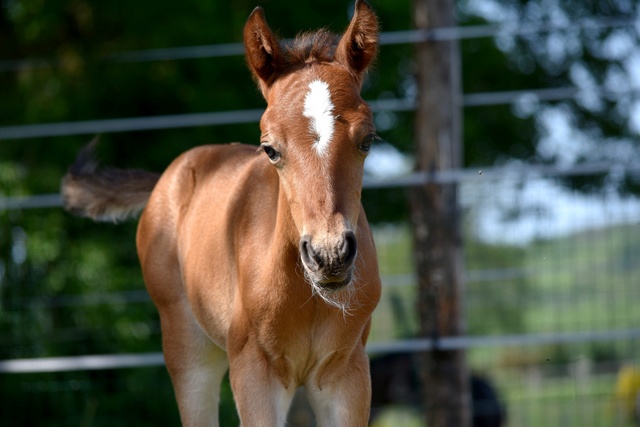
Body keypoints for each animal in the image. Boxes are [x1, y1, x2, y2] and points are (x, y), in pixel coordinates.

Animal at [61, 1, 380, 426]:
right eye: (270, 149)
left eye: (368, 140)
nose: (329, 255)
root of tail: (167, 178)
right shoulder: (254, 372)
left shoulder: (347, 374)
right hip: (188, 351)